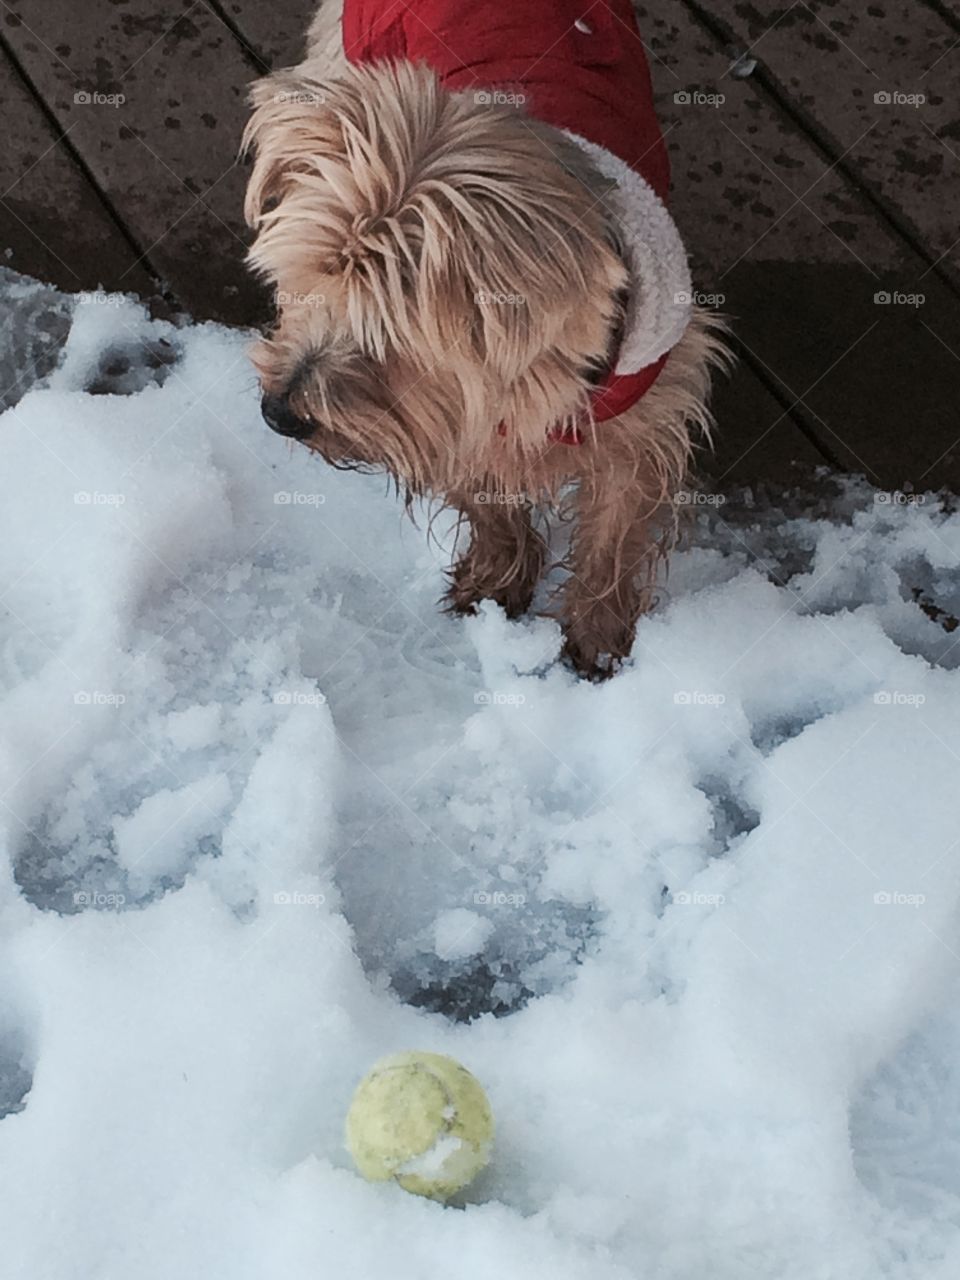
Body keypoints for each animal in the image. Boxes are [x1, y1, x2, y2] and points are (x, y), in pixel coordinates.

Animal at [244, 0, 727, 680]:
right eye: (299, 289)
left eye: (384, 333)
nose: (278, 412)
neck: (529, 388)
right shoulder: (449, 419)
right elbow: (484, 494)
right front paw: (500, 578)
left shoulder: (651, 404)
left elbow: (615, 531)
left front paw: (597, 637)